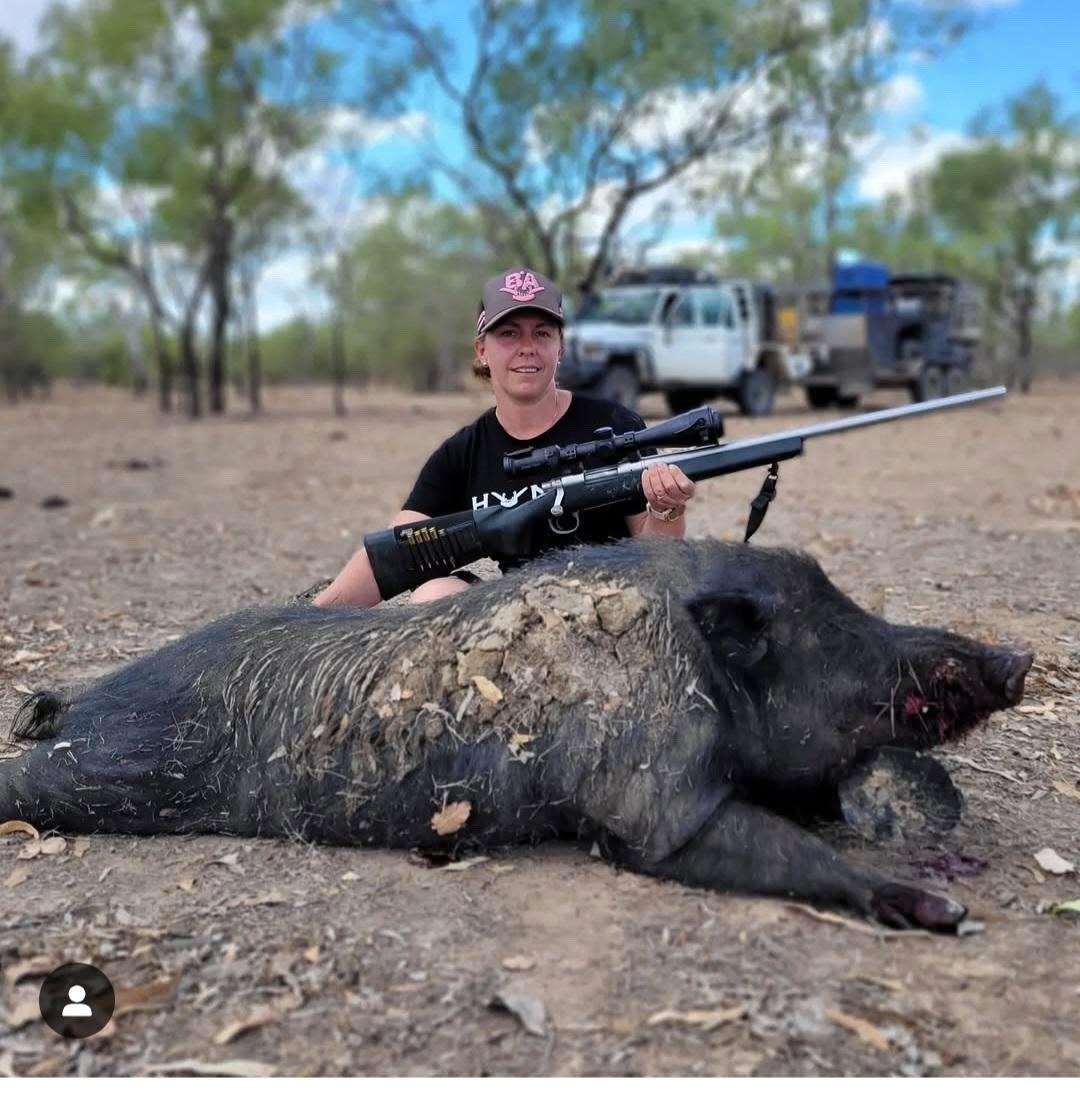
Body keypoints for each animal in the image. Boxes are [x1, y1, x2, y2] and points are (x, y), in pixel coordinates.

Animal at [2, 538, 1032, 932]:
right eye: (843, 626)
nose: (1018, 655)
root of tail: (78, 699)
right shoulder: (657, 807)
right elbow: (791, 852)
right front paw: (942, 912)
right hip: (115, 768)